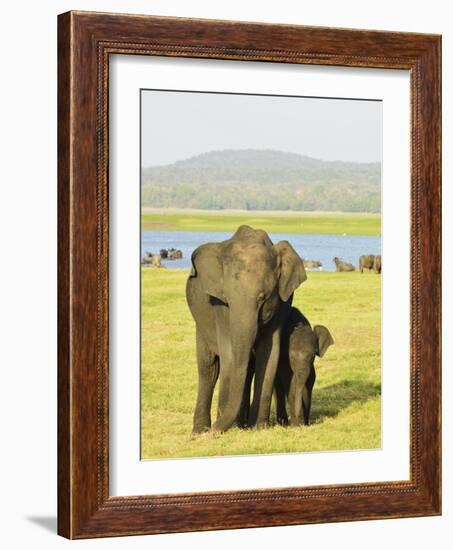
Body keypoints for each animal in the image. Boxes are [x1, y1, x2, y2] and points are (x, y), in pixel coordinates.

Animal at [185, 225, 306, 436]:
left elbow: (269, 353)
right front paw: (229, 428)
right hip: (201, 324)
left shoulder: (284, 301)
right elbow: (229, 354)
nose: (215, 430)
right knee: (208, 368)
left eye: (262, 298)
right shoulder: (218, 305)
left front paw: (258, 427)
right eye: (227, 298)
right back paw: (200, 431)